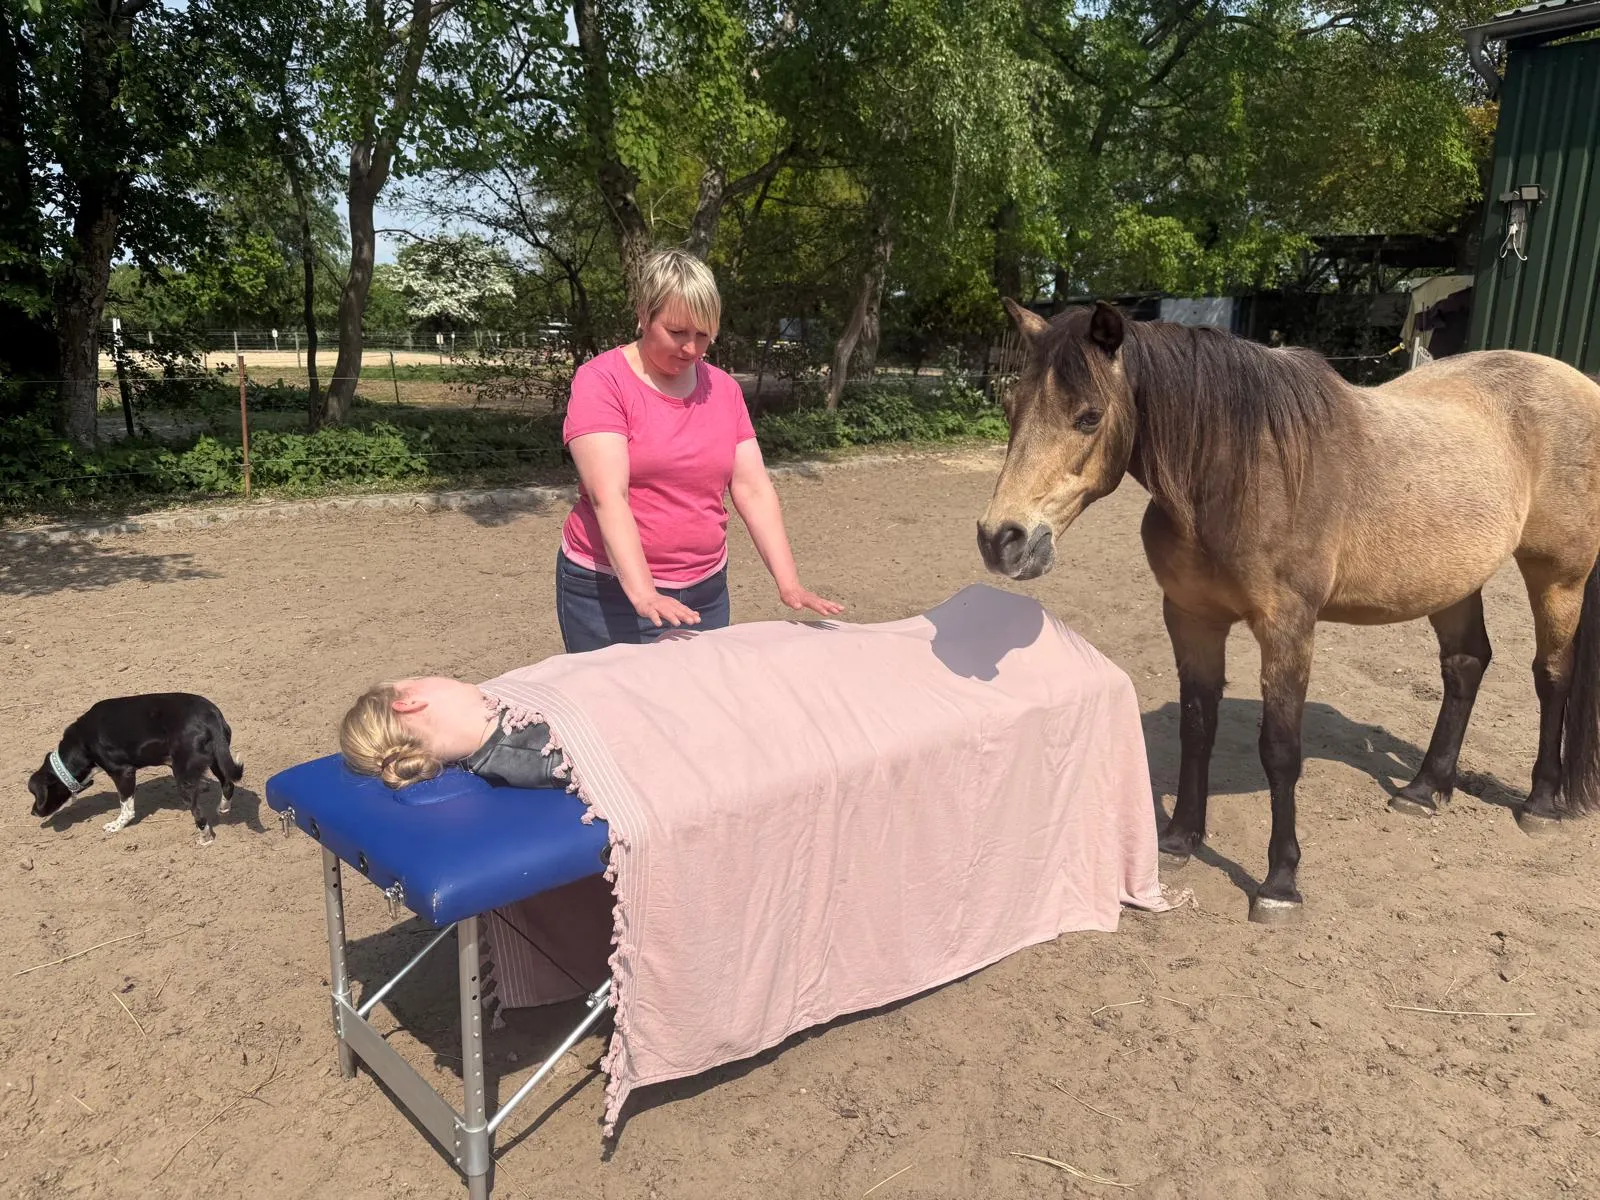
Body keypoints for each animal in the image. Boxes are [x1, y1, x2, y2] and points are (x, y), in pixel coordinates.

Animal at [975, 298, 1600, 924]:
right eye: (1010, 407)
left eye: (1089, 416)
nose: (1001, 539)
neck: (1240, 473)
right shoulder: (1190, 618)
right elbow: (1196, 726)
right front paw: (1178, 840)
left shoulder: (1287, 629)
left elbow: (1279, 750)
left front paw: (1279, 883)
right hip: (1453, 581)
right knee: (1466, 664)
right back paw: (1425, 790)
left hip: (1558, 577)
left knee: (1552, 676)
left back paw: (1540, 804)